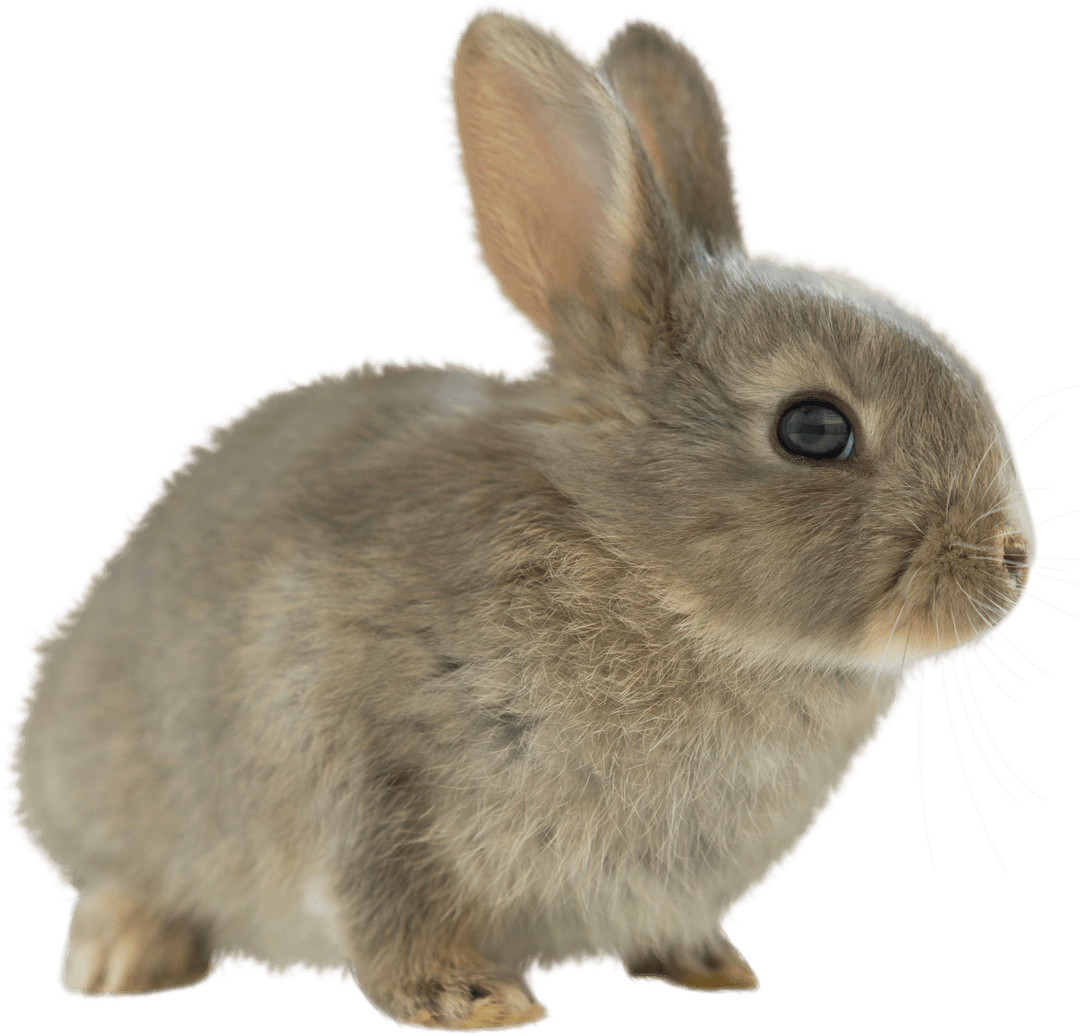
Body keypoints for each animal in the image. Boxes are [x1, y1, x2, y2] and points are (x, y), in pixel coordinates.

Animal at [5, 3, 1039, 1032]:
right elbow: (389, 906)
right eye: (814, 428)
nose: (1011, 558)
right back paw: (121, 955)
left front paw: (708, 966)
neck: (632, 559)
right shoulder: (365, 770)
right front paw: (470, 1000)